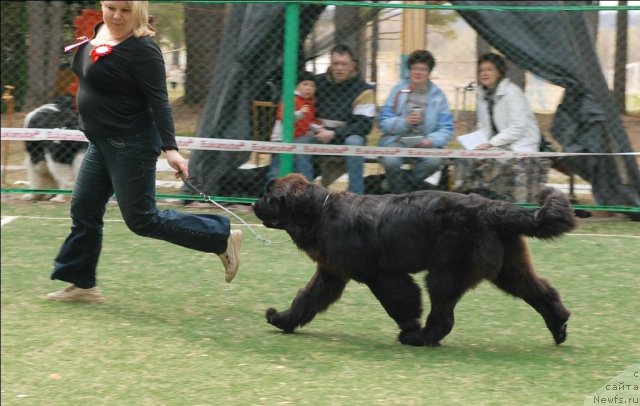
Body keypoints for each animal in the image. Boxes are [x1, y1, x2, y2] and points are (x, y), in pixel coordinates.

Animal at [252, 173, 576, 348]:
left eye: (269, 195)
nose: (254, 204)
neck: (319, 212)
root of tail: (491, 208)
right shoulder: (331, 274)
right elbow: (306, 300)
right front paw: (283, 319)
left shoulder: (381, 275)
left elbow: (400, 302)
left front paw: (409, 327)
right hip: (509, 268)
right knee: (542, 292)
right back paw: (558, 326)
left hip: (446, 271)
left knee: (444, 316)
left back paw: (421, 337)